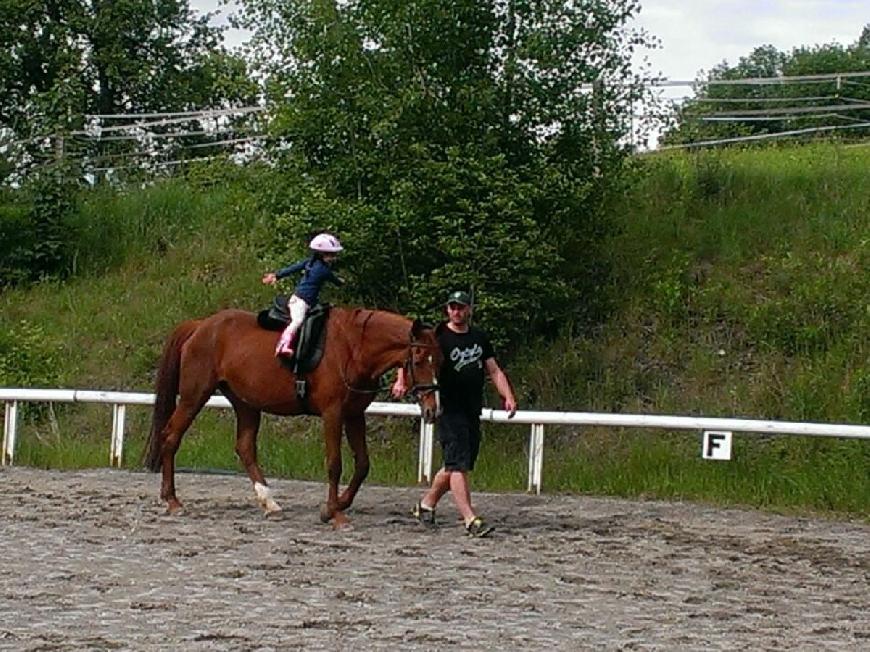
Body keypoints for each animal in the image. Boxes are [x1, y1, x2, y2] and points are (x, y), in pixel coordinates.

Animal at [146, 306, 442, 528]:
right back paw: (173, 501)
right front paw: (336, 514)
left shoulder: (354, 414)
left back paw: (270, 503)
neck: (353, 348)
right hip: (195, 396)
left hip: (245, 403)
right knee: (171, 437)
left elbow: (363, 465)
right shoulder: (333, 413)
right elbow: (335, 464)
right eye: (418, 359)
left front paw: (333, 507)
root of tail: (201, 325)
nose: (433, 409)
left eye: (437, 360)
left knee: (245, 447)